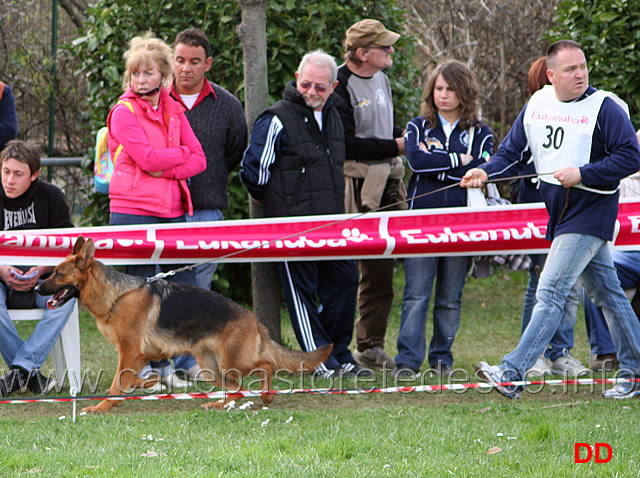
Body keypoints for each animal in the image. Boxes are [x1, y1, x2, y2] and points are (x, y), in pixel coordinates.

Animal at [37, 237, 332, 412]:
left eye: (58, 274)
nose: (37, 287)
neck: (116, 295)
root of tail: (254, 320)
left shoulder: (130, 352)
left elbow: (117, 382)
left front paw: (101, 407)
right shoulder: (138, 355)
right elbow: (131, 378)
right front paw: (148, 383)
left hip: (233, 361)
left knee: (265, 366)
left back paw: (259, 397)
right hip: (213, 369)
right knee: (237, 389)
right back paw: (227, 403)